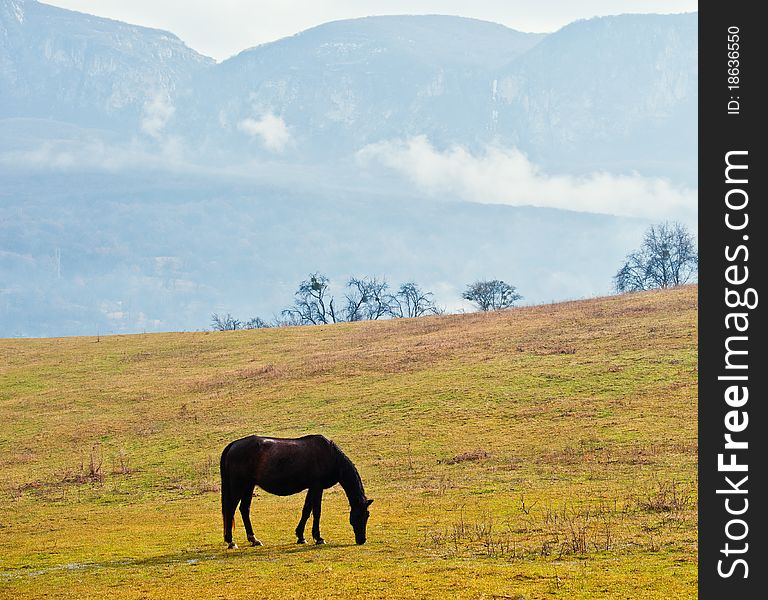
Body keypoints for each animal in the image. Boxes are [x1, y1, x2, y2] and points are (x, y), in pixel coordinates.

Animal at [218, 436, 374, 548]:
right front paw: (318, 538)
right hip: (239, 485)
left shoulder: (312, 488)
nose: (362, 540)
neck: (330, 455)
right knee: (230, 509)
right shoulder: (317, 487)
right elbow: (316, 511)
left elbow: (306, 511)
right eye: (359, 516)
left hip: (248, 486)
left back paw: (254, 539)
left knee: (244, 509)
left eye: (367, 515)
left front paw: (301, 536)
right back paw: (231, 541)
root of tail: (233, 445)